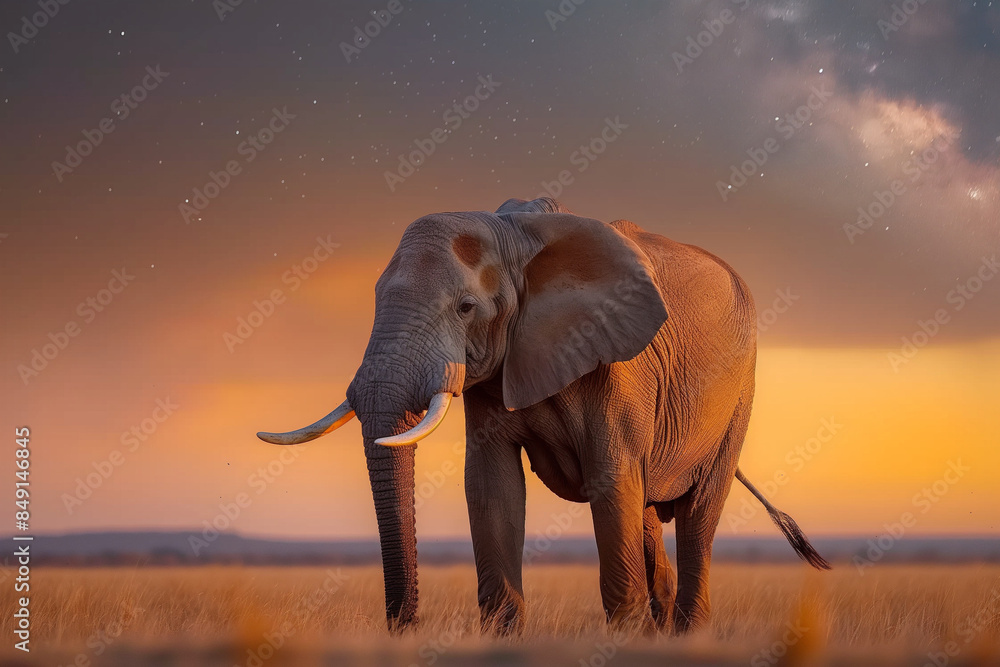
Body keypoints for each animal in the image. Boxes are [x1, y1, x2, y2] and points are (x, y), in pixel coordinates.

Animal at [257, 196, 829, 636]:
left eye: (466, 307)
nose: (405, 628)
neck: (515, 236)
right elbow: (491, 485)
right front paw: (504, 640)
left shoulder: (617, 363)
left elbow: (609, 479)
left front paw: (621, 641)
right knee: (645, 508)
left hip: (739, 397)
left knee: (696, 514)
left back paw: (689, 635)